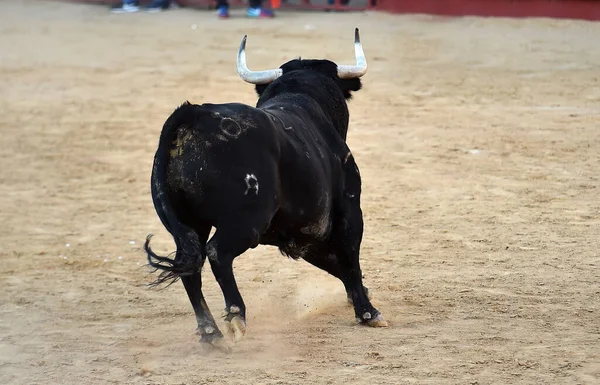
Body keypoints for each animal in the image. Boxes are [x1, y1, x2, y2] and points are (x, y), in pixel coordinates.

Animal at [145, 27, 390, 344]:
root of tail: (191, 116)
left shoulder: (299, 233)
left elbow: (336, 262)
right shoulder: (348, 210)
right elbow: (349, 257)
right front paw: (368, 312)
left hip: (189, 225)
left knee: (190, 262)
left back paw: (210, 332)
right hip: (245, 223)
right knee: (216, 253)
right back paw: (235, 316)